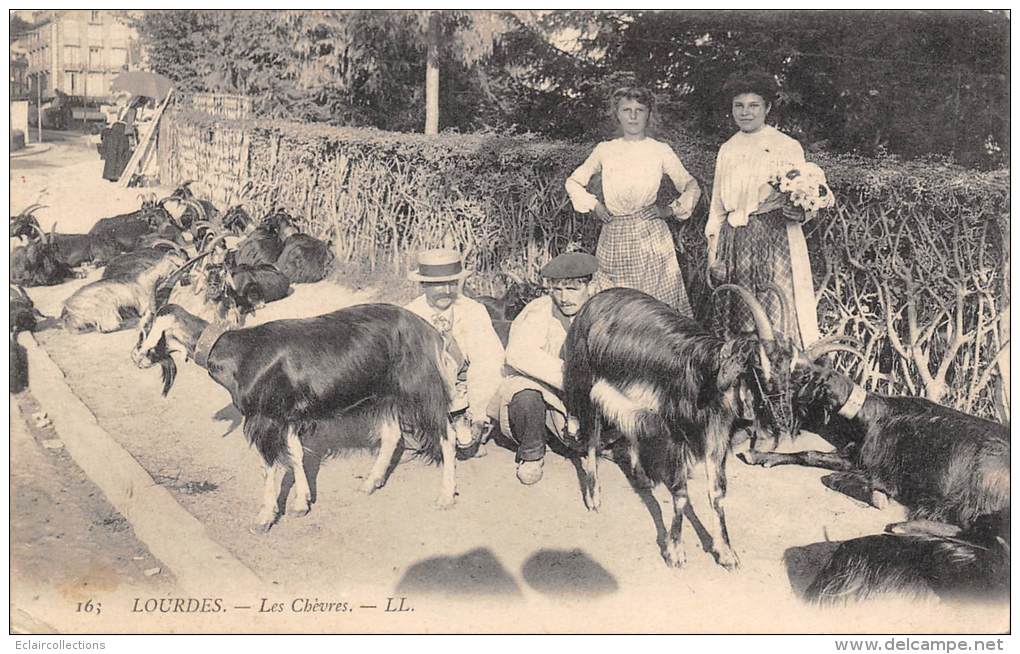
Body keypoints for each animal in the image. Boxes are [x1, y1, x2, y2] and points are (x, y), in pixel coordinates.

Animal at [61, 248, 189, 334]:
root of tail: (67, 308)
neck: (145, 279)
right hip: (105, 303)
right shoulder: (143, 305)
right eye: (177, 259)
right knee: (107, 327)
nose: (186, 262)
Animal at [129, 304, 461, 534]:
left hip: (420, 389)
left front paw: (264, 518)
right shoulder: (285, 415)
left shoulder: (263, 419)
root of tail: (432, 333)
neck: (239, 354)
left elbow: (270, 466)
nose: (136, 357)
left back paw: (446, 497)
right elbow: (296, 455)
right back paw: (371, 482)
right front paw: (302, 503)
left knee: (447, 434)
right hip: (384, 395)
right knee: (393, 434)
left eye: (147, 328)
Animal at [563, 283, 791, 567]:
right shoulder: (676, 435)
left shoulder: (715, 434)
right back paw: (594, 497)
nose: (780, 400)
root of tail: (592, 302)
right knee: (592, 439)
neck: (705, 376)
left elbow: (717, 491)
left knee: (629, 426)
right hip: (586, 382)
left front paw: (726, 552)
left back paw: (641, 476)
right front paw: (675, 551)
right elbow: (681, 494)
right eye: (758, 362)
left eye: (788, 361)